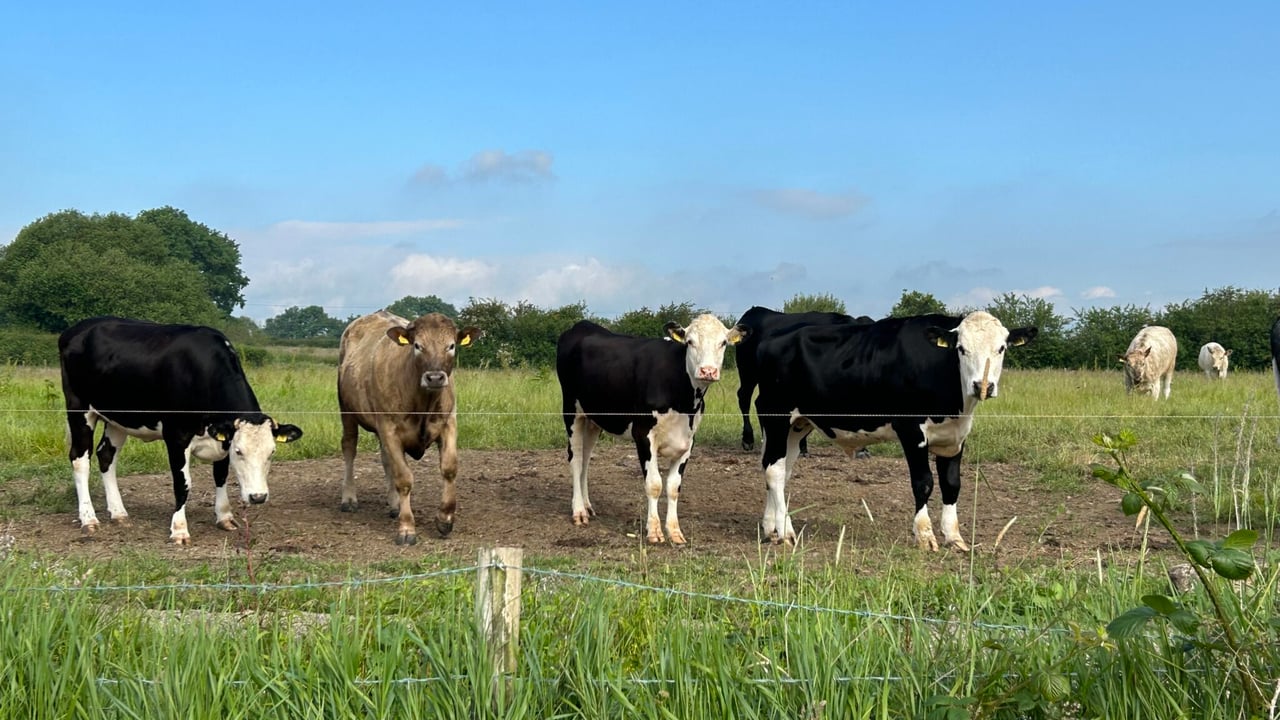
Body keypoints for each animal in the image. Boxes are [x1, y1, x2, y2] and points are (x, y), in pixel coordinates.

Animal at [58, 317, 304, 545]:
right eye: (239, 452)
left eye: (272, 452)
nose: (258, 497)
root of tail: (78, 328)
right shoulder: (176, 436)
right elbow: (182, 484)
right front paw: (179, 530)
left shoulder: (221, 439)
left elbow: (220, 476)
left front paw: (224, 517)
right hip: (79, 409)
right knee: (80, 459)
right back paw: (89, 519)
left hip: (118, 417)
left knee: (106, 455)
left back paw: (119, 513)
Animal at [337, 310, 480, 545]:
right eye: (417, 345)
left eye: (451, 345)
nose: (435, 377)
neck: (423, 403)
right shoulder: (389, 429)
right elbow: (404, 478)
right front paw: (406, 528)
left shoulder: (449, 423)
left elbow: (449, 468)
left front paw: (445, 519)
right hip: (347, 412)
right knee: (349, 447)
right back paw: (348, 498)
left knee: (386, 459)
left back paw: (394, 504)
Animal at [556, 314, 748, 545]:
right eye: (690, 342)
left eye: (723, 343)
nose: (708, 371)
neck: (684, 401)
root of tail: (581, 325)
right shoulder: (643, 435)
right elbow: (654, 484)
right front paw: (654, 531)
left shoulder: (688, 441)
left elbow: (674, 487)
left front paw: (674, 532)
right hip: (571, 410)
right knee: (575, 459)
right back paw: (578, 511)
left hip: (594, 419)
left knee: (585, 460)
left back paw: (587, 506)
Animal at [753, 311, 1037, 551]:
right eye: (961, 349)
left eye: (1001, 348)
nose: (982, 386)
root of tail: (771, 340)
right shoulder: (911, 430)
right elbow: (923, 483)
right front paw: (925, 536)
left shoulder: (955, 437)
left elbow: (951, 484)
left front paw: (954, 537)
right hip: (776, 416)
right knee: (775, 471)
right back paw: (786, 532)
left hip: (798, 425)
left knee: (780, 469)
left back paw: (771, 528)